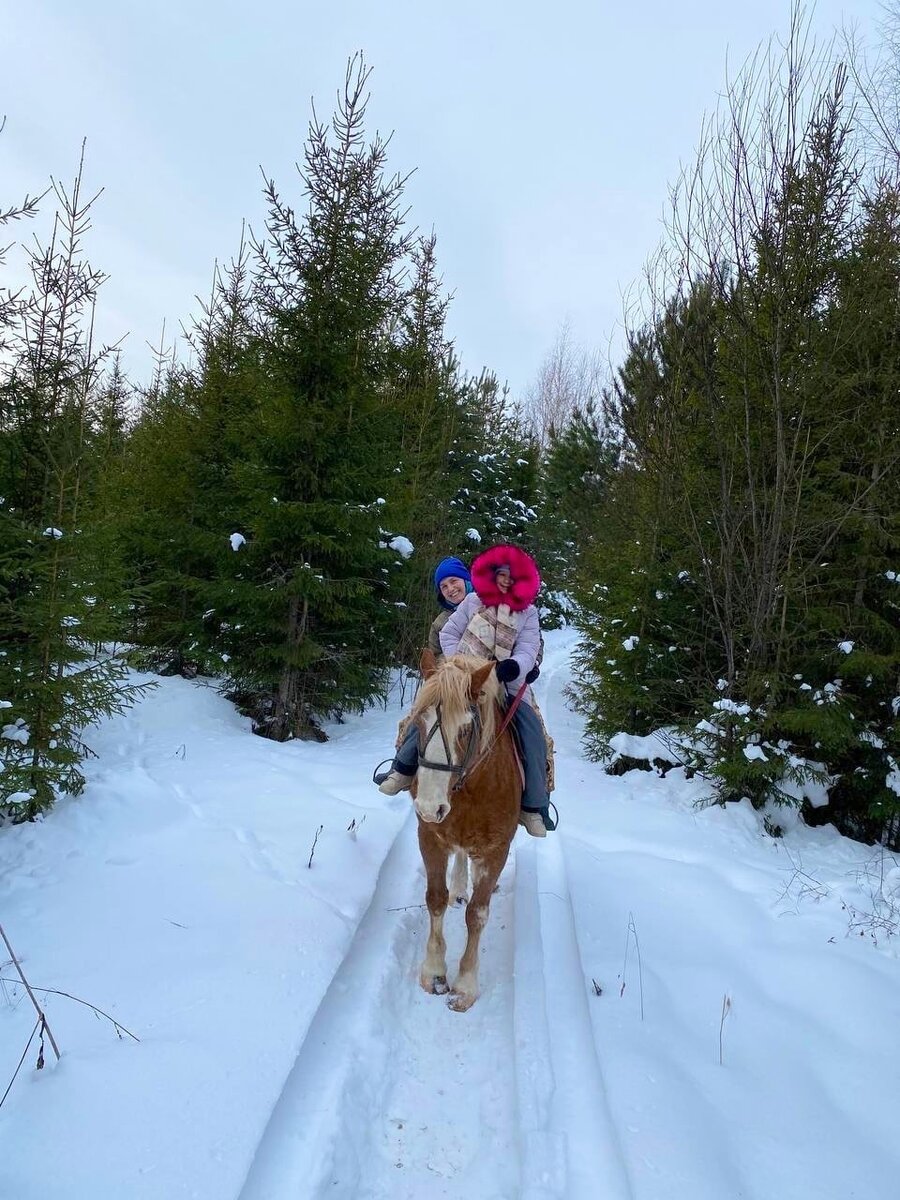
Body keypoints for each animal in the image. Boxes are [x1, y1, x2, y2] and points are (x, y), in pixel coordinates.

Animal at [408, 648, 520, 1012]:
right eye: (418, 722)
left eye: (465, 729)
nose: (430, 807)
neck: (469, 788)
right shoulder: (429, 836)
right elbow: (435, 899)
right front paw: (433, 972)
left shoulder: (496, 850)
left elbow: (478, 915)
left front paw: (465, 985)